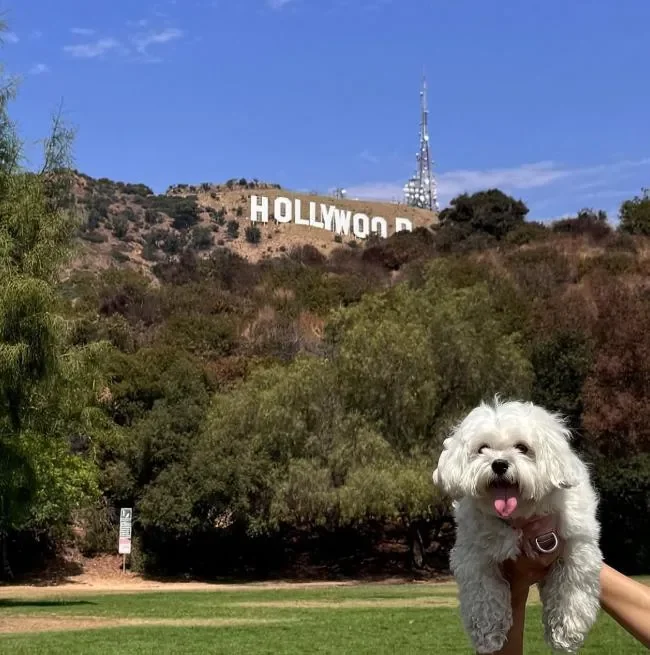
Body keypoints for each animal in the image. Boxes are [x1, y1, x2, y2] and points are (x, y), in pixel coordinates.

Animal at [432, 398, 602, 653]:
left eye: (522, 447)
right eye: (482, 448)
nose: (499, 464)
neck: (518, 517)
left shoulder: (577, 542)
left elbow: (572, 585)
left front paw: (566, 632)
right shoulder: (472, 553)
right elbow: (483, 591)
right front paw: (488, 631)